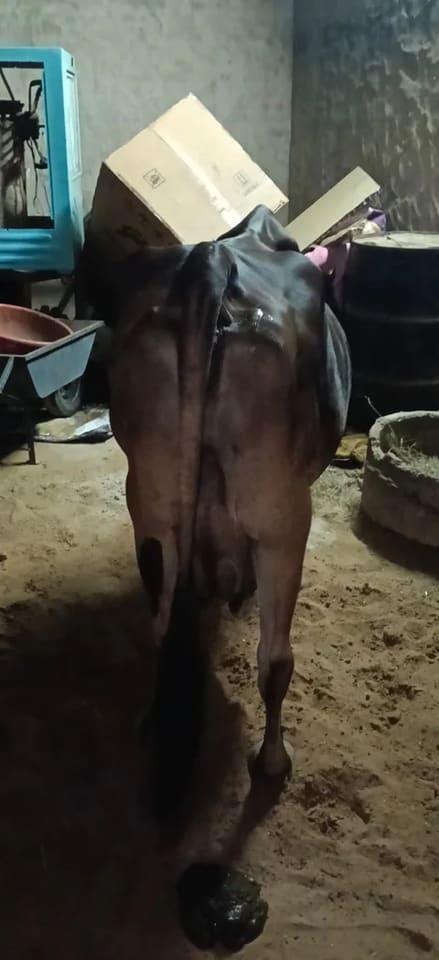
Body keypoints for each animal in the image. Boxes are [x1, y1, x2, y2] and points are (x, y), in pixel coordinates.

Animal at [84, 206, 351, 817]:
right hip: (280, 516)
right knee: (275, 660)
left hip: (151, 502)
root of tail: (211, 259)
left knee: (163, 628)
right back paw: (272, 762)